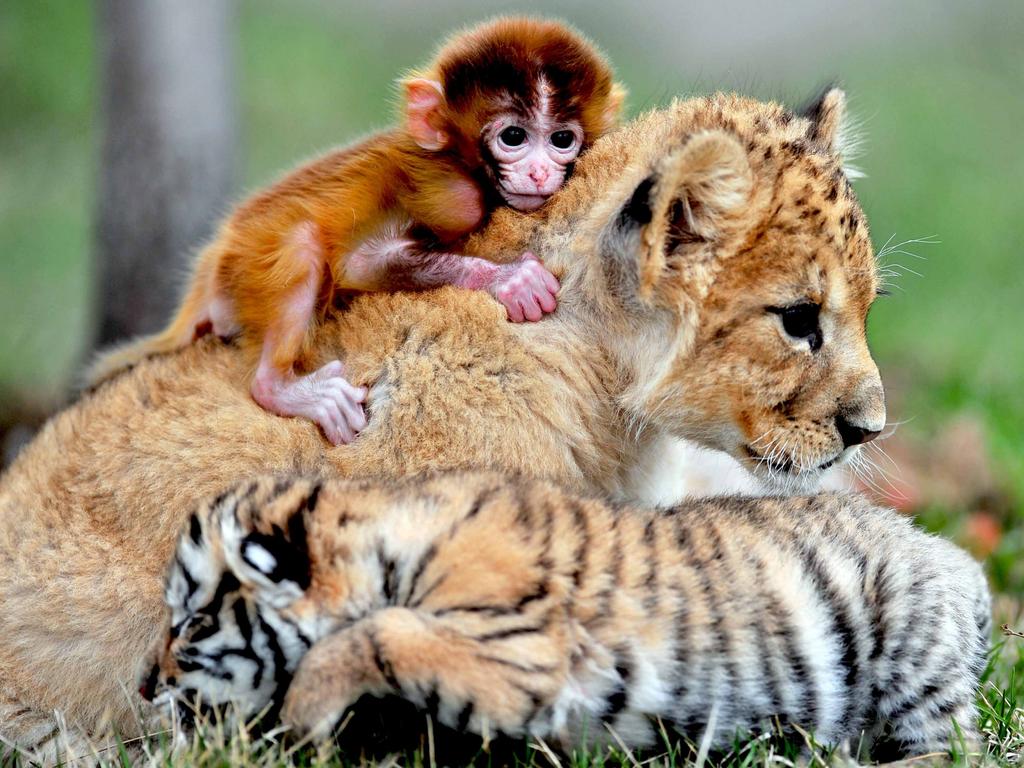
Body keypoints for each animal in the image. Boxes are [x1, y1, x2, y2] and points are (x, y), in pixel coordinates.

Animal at [92, 18, 622, 444]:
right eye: (514, 137)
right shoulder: (451, 196)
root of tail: (213, 261)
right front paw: (510, 279)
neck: (461, 163)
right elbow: (361, 263)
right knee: (302, 246)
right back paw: (278, 388)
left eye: (561, 139)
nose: (538, 172)